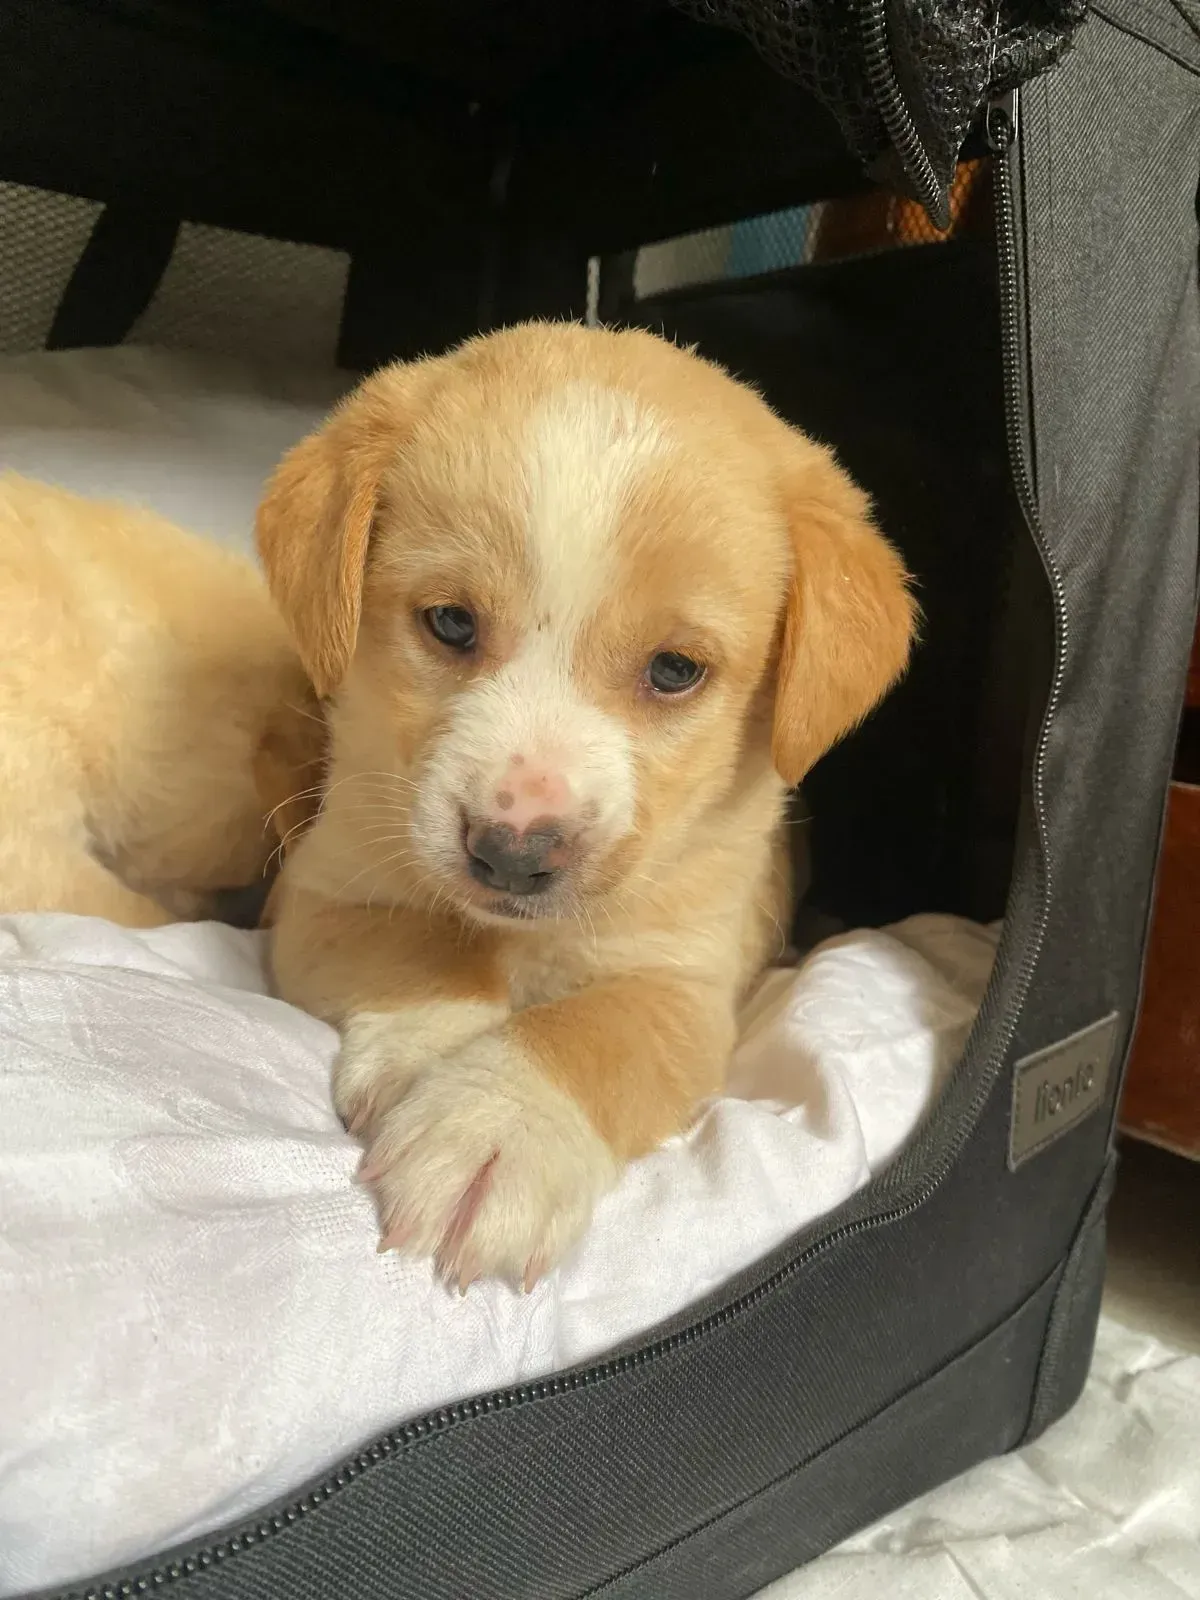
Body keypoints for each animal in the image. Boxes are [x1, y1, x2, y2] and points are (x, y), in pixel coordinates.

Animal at [257, 322, 917, 1289]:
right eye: (450, 622)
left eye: (675, 670)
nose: (513, 852)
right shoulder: (329, 887)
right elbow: (419, 949)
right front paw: (433, 1055)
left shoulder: (681, 980)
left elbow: (593, 1031)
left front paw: (495, 1127)